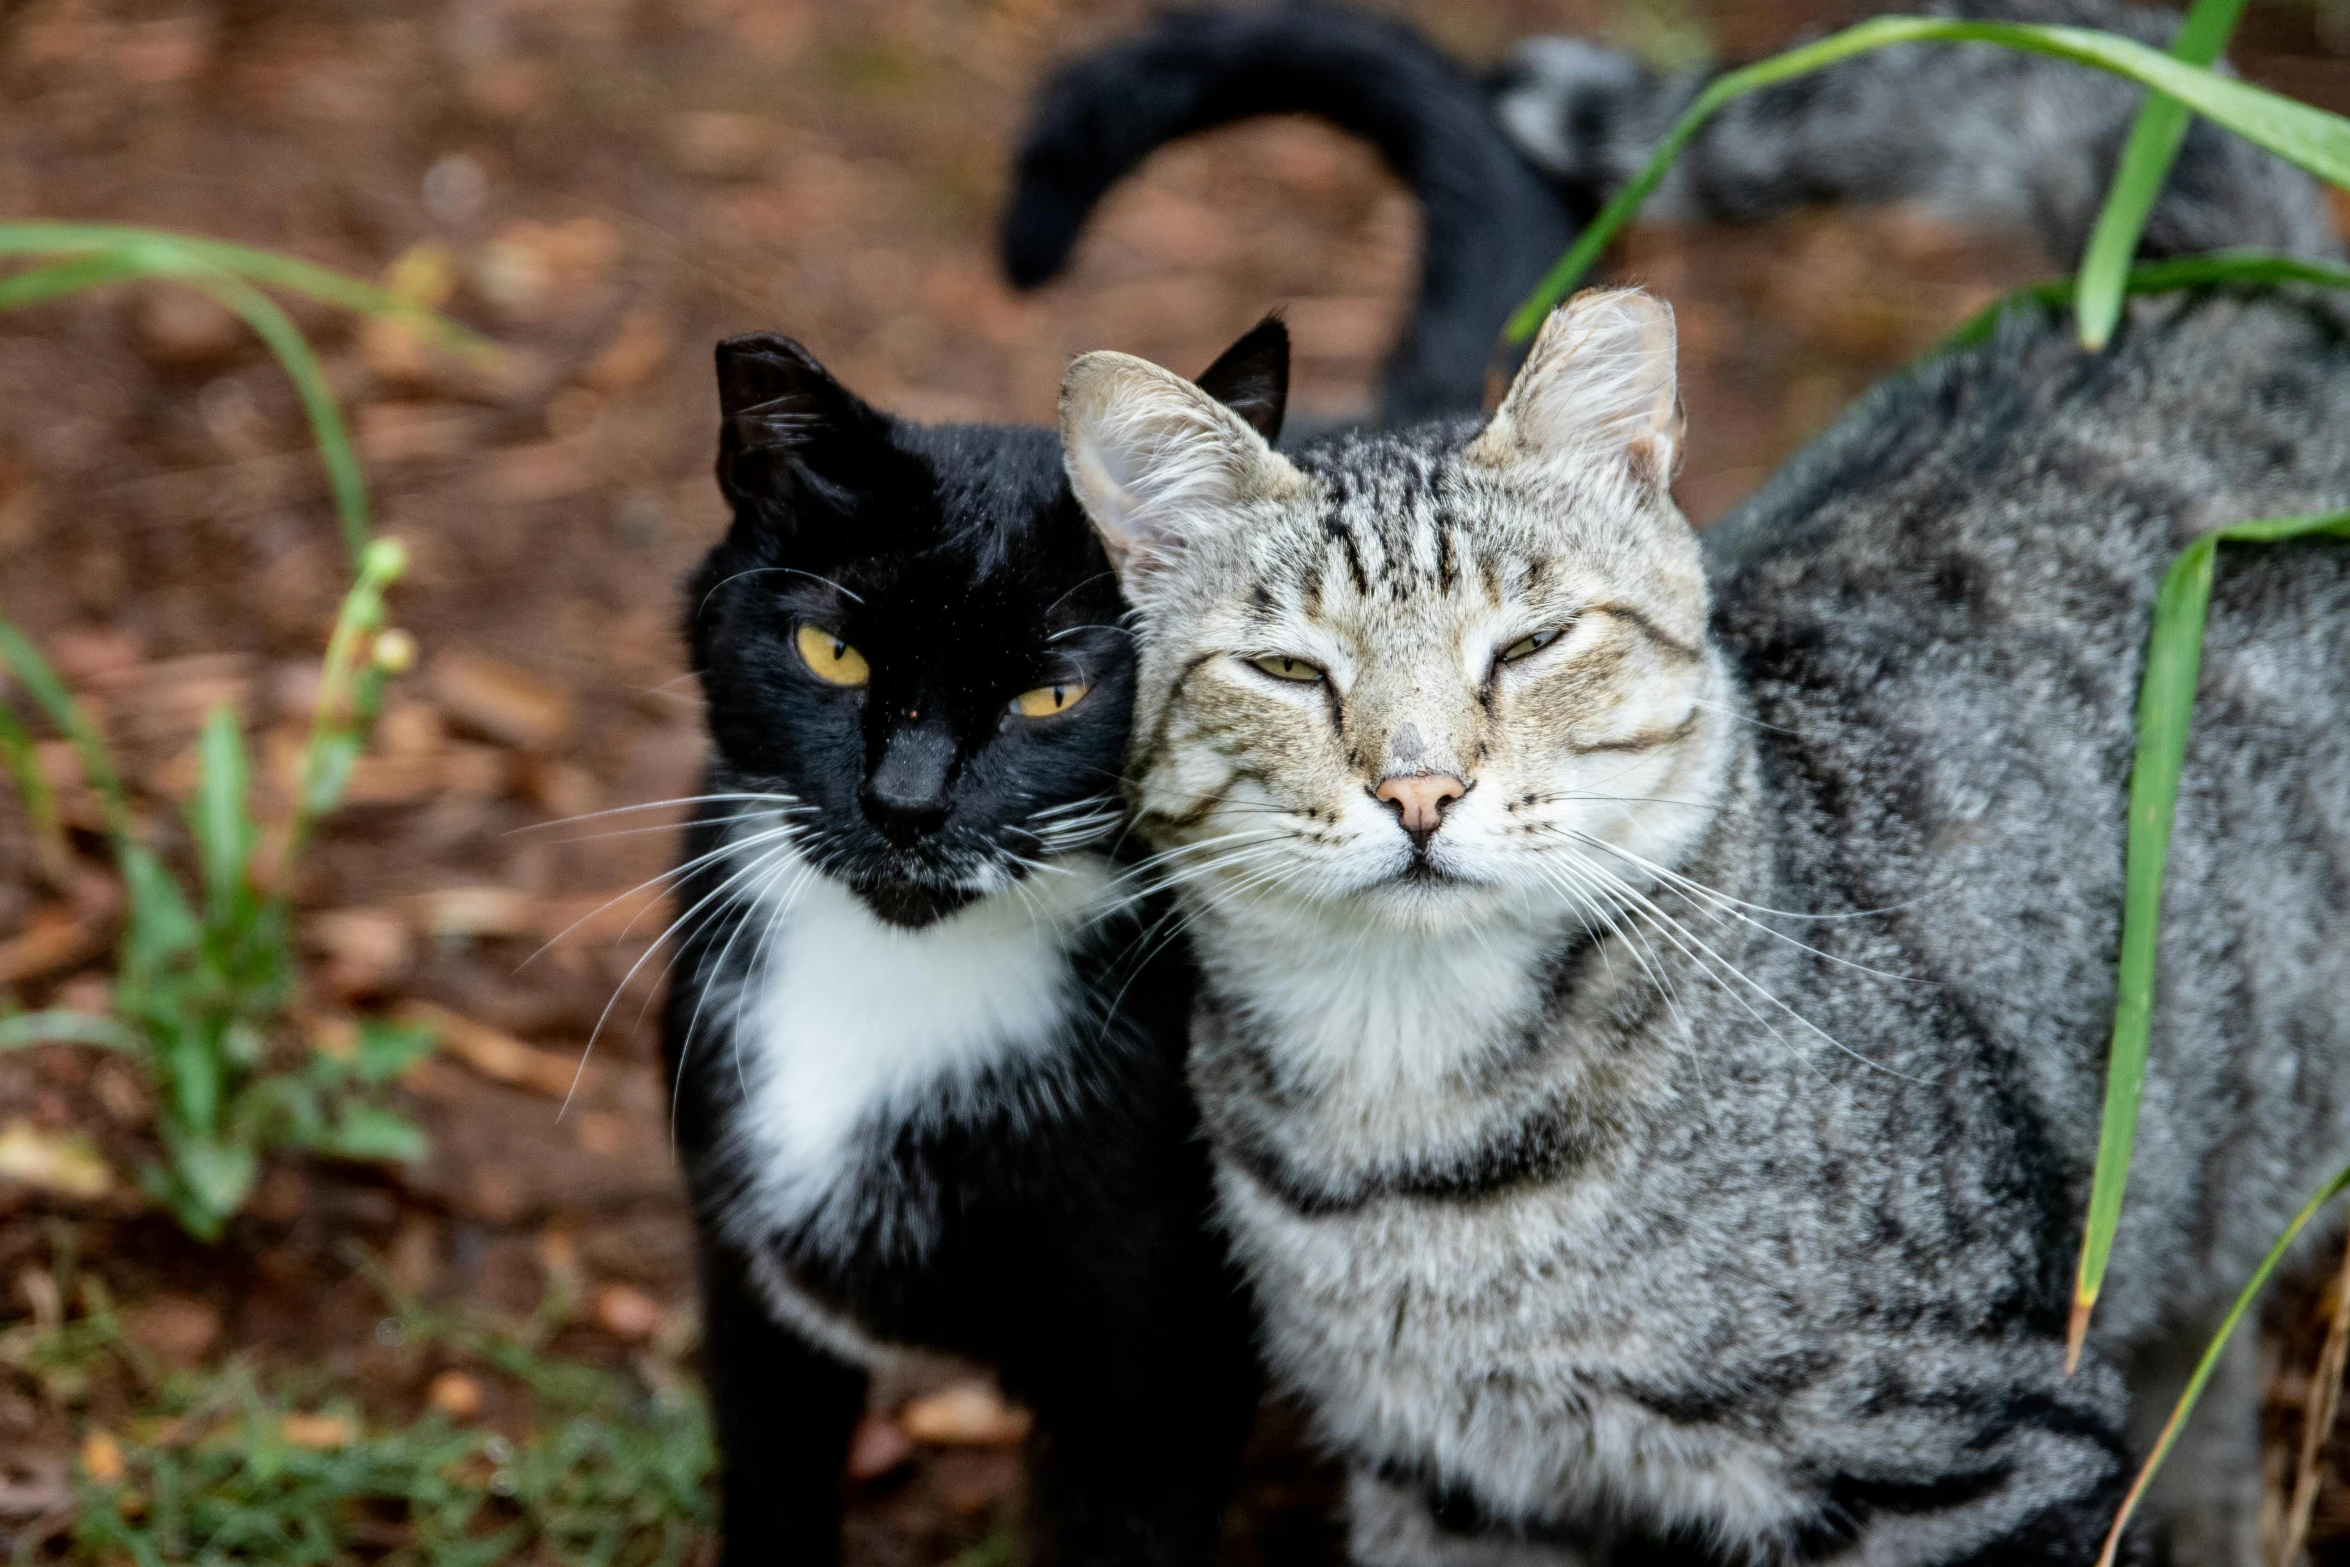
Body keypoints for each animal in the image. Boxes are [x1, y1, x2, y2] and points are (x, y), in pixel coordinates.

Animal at [662, 321, 1287, 1567]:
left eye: (1056, 694)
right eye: (831, 653)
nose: (906, 805)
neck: (896, 988)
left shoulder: (1162, 1355)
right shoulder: (747, 1284)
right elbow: (769, 1485)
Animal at [1057, 266, 2350, 1559]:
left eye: (1531, 645)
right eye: (1286, 671)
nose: (1418, 791)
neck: (1411, 1108)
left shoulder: (1981, 1444)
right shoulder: (1447, 1481)